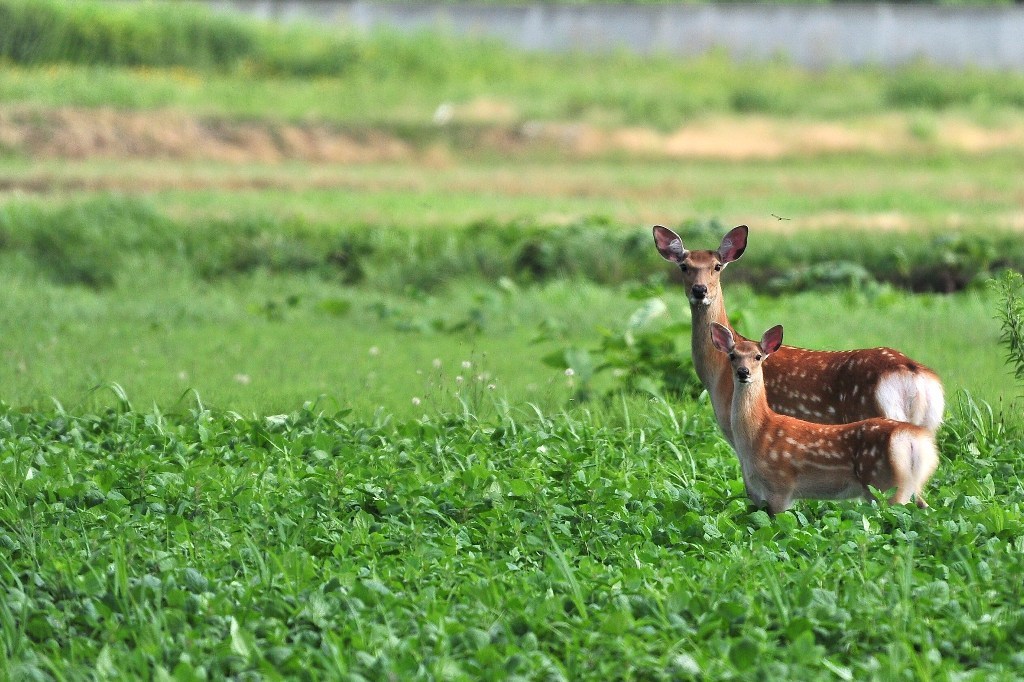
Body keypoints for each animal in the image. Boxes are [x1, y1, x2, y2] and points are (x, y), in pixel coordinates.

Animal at [651, 223, 946, 446]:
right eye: (684, 266)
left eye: (717, 266)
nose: (700, 290)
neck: (717, 374)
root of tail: (914, 377)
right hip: (929, 424)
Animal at [712, 323, 937, 509]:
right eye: (732, 355)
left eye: (758, 356)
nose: (743, 372)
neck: (758, 433)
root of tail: (911, 439)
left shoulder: (780, 486)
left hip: (884, 484)